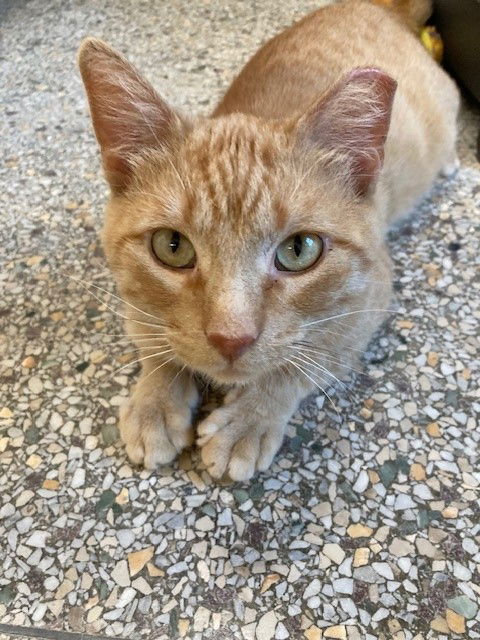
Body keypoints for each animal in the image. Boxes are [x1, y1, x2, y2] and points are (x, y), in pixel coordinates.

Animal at [78, 0, 458, 480]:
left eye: (299, 250)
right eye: (172, 246)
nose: (231, 338)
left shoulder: (367, 304)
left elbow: (304, 361)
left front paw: (250, 418)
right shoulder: (131, 298)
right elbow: (153, 336)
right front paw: (155, 400)